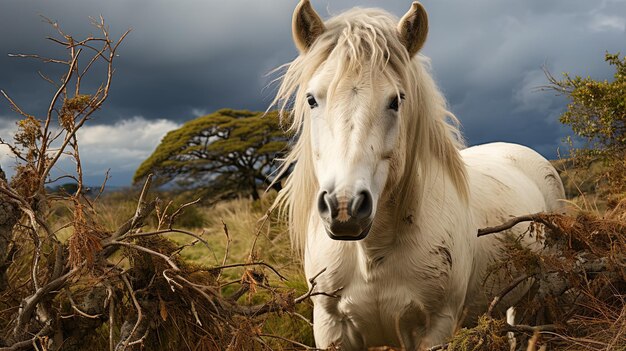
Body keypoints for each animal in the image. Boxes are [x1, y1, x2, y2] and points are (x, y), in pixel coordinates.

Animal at [270, 1, 564, 350]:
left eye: (396, 101)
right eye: (312, 99)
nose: (344, 208)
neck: (372, 256)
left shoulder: (436, 327)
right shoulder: (330, 327)